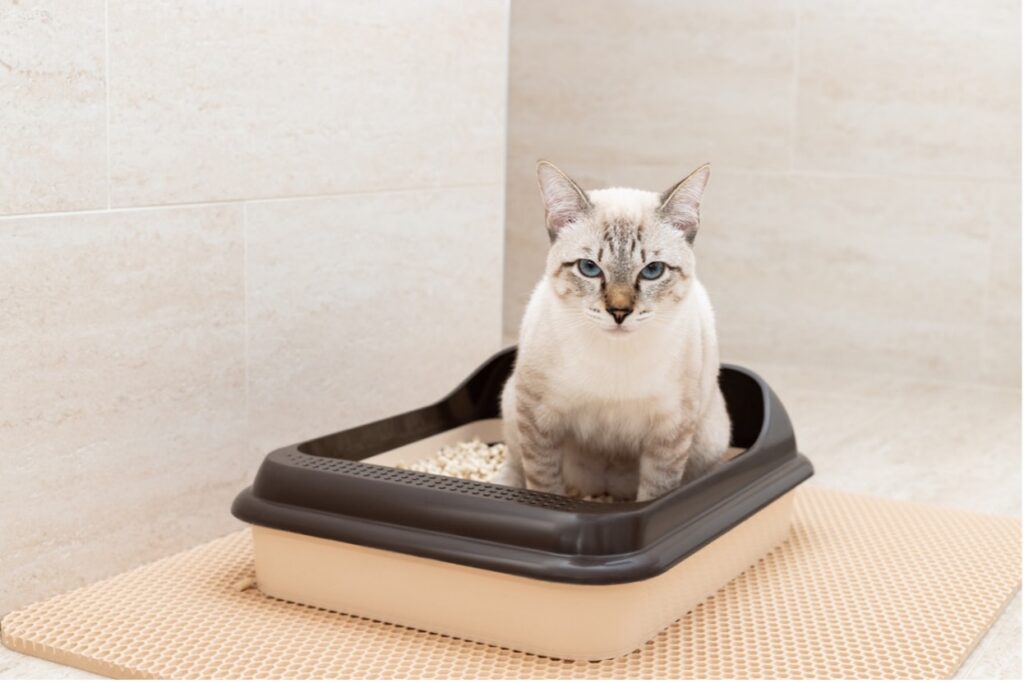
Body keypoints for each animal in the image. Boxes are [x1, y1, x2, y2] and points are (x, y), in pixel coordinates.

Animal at [493, 160, 729, 501]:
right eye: (589, 268)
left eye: (652, 270)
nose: (619, 312)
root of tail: (604, 489)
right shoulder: (537, 416)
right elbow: (544, 487)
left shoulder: (670, 430)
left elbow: (654, 495)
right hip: (511, 406)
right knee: (515, 461)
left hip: (710, 439)